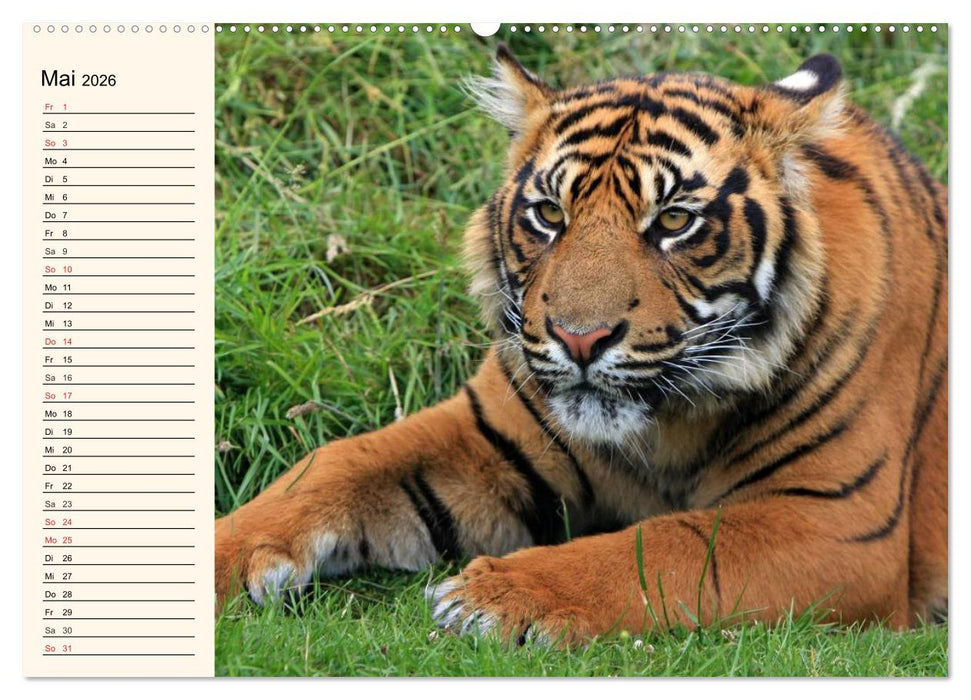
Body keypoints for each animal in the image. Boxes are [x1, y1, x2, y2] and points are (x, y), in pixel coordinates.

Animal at [215, 46, 948, 646]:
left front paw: (495, 595)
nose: (579, 338)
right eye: (549, 214)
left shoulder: (839, 522)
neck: (664, 427)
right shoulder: (485, 434)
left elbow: (670, 544)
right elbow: (338, 462)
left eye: (673, 222)